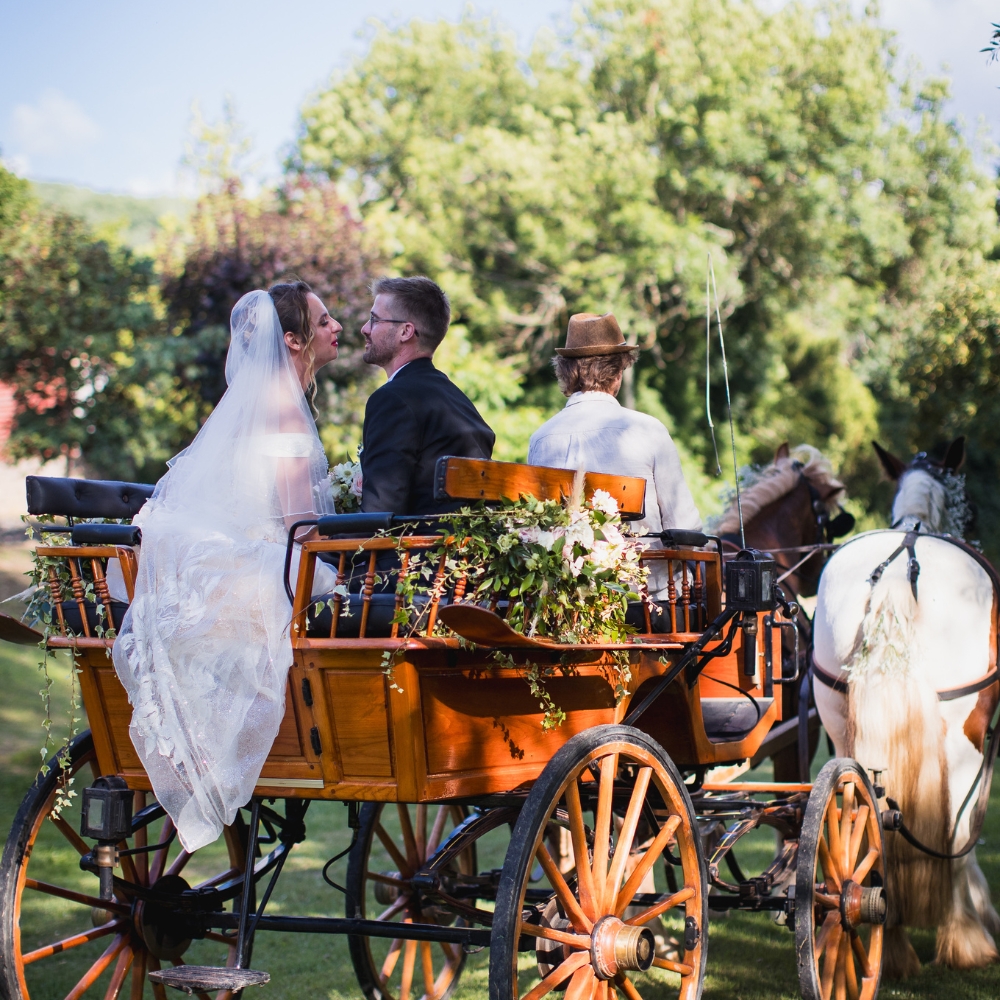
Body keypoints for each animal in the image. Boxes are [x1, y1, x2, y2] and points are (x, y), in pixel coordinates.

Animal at [812, 438, 1000, 976]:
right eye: (970, 506)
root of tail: (899, 565)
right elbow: (967, 834)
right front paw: (980, 916)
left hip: (842, 728)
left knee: (869, 818)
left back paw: (888, 937)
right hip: (965, 736)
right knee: (954, 835)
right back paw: (963, 936)